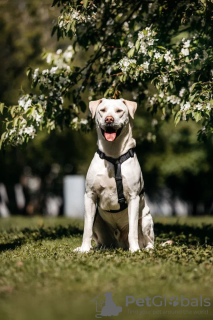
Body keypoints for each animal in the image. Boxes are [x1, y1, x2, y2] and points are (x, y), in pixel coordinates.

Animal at [74, 97, 154, 252]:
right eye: (103, 110)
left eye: (119, 111)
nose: (109, 119)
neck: (113, 155)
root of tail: (118, 244)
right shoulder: (90, 195)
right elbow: (86, 229)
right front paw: (84, 249)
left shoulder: (133, 197)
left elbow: (133, 230)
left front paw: (135, 250)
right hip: (98, 220)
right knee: (99, 238)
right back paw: (92, 248)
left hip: (146, 219)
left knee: (149, 240)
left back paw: (145, 248)